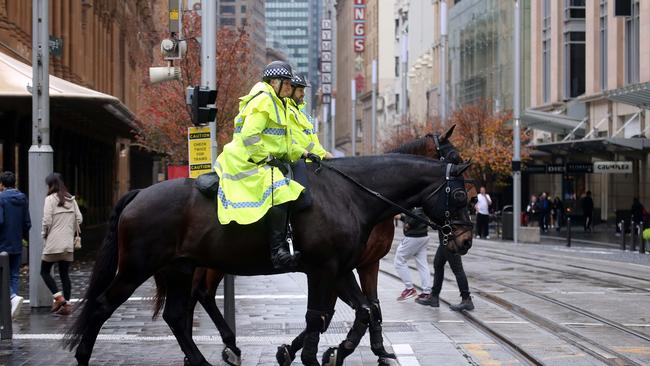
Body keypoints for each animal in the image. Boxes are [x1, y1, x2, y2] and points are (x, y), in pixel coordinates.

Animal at [64, 154, 470, 366]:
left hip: (179, 268)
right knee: (101, 306)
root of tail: (139, 194)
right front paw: (309, 355)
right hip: (137, 268)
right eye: (461, 195)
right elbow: (319, 317)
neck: (348, 195)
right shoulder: (323, 269)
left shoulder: (340, 270)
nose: (464, 240)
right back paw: (83, 356)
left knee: (177, 316)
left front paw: (335, 351)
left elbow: (363, 311)